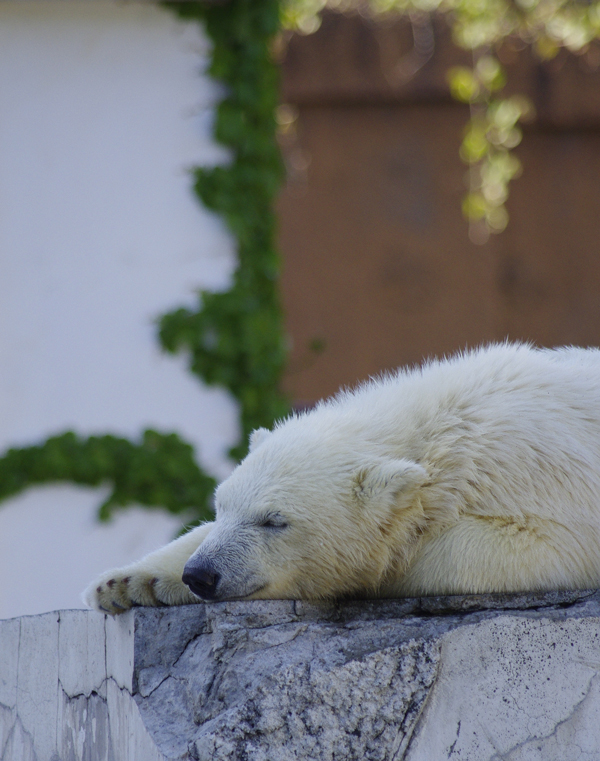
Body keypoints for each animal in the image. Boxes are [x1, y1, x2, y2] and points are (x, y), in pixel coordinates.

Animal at [85, 342, 600, 616]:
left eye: (275, 521)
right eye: (220, 506)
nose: (202, 574)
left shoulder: (537, 473)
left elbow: (544, 547)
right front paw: (124, 583)